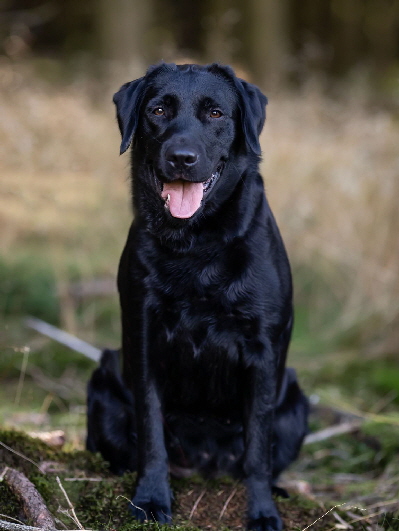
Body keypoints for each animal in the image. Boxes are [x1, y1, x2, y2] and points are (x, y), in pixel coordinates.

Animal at [87, 63, 310, 531]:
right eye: (157, 110)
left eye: (216, 113)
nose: (182, 157)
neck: (196, 242)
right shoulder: (144, 340)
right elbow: (151, 434)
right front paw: (151, 500)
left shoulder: (263, 352)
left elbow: (257, 450)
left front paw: (262, 512)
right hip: (103, 376)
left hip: (296, 400)